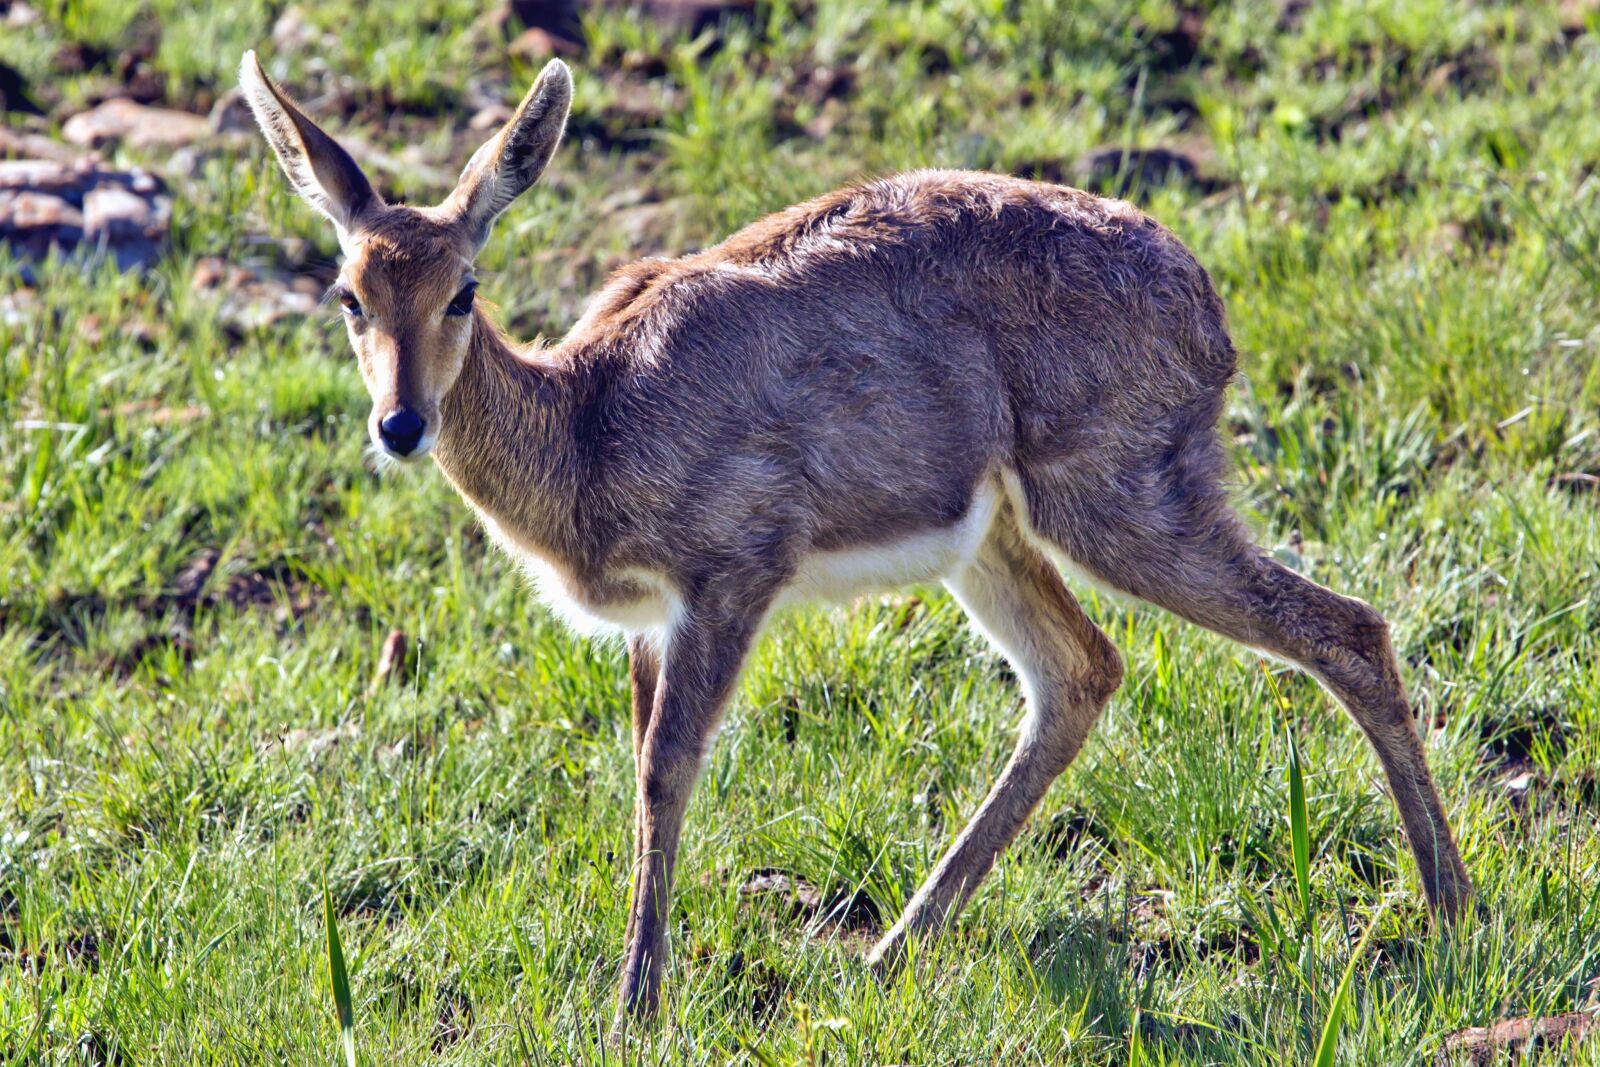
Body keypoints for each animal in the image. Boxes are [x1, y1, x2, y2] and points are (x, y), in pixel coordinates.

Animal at [240, 52, 1472, 1023]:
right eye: (349, 295)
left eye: (464, 289)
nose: (400, 424)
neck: (587, 419)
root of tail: (1206, 304)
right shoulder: (648, 624)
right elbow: (638, 767)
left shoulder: (733, 574)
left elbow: (665, 769)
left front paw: (635, 1003)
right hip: (995, 540)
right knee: (1082, 670)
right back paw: (888, 951)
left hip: (1121, 502)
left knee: (1345, 628)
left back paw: (1454, 908)